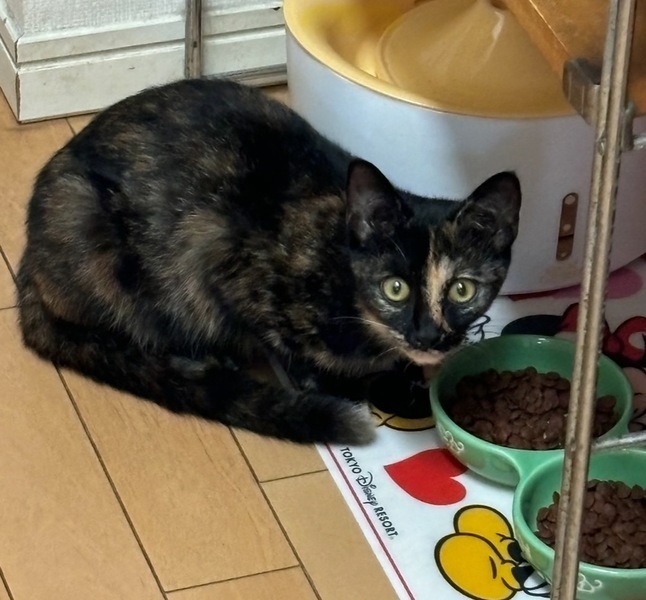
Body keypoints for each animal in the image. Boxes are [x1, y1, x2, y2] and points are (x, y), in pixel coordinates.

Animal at [16, 78, 521, 445]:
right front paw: (355, 385)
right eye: (394, 287)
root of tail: (28, 259)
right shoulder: (217, 258)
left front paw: (409, 378)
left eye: (463, 289)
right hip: (92, 228)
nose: (428, 336)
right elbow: (291, 352)